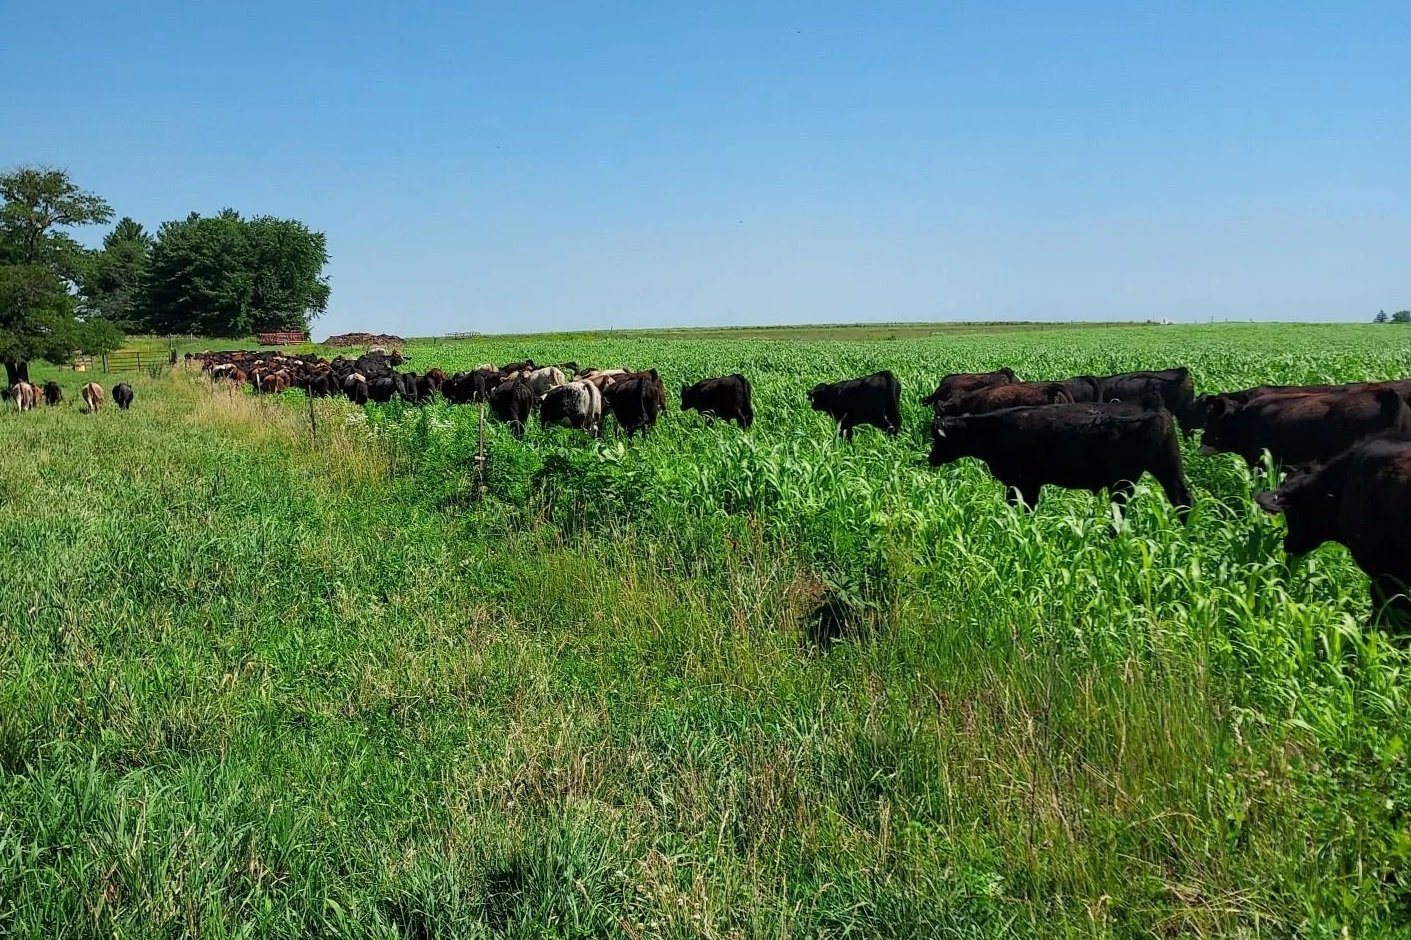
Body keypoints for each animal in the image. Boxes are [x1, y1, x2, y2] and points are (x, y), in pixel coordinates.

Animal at [928, 398, 1192, 523]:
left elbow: (1023, 507)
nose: (930, 459)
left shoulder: (1023, 482)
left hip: (1124, 479)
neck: (993, 429)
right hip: (1168, 464)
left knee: (1120, 510)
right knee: (1182, 498)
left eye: (938, 439)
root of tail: (1152, 406)